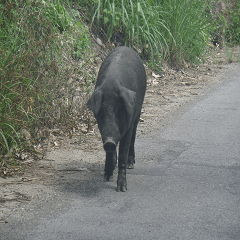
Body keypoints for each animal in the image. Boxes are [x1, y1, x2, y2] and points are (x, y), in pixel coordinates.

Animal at [86, 46, 146, 191]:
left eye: (120, 111)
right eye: (102, 111)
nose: (109, 141)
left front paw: (122, 189)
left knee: (133, 136)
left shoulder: (128, 122)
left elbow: (123, 151)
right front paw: (107, 178)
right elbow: (110, 153)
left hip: (138, 113)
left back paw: (131, 164)